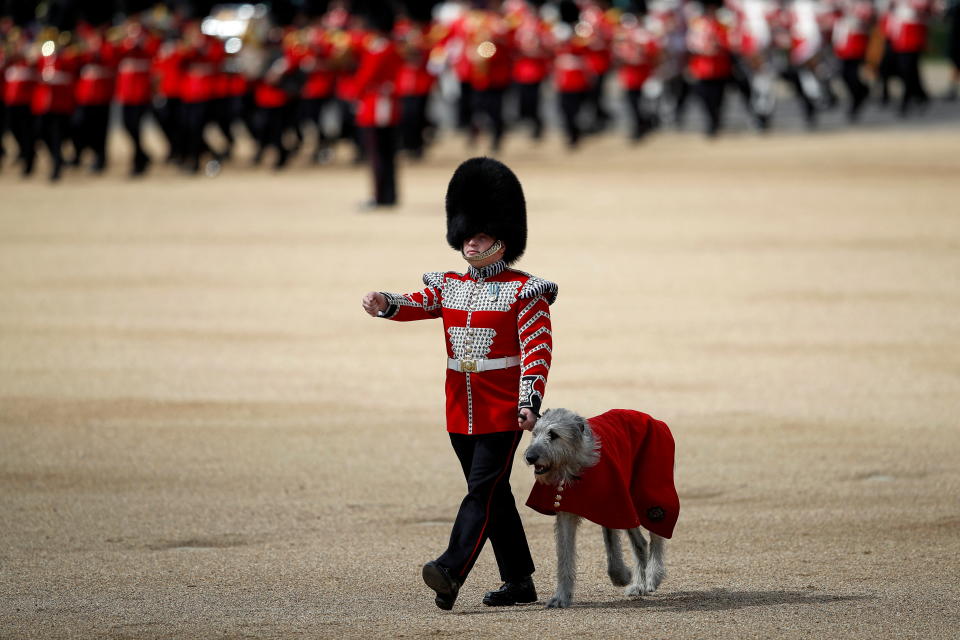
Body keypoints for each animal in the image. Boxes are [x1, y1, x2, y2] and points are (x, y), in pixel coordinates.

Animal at [524, 408, 668, 608]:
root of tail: (649, 417)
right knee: (640, 543)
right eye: (535, 433)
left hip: (649, 493)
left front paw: (622, 576)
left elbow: (611, 544)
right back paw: (639, 584)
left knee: (657, 533)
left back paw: (653, 576)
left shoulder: (612, 504)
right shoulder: (566, 508)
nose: (530, 457)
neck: (575, 465)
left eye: (553, 434)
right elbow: (564, 554)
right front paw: (561, 597)